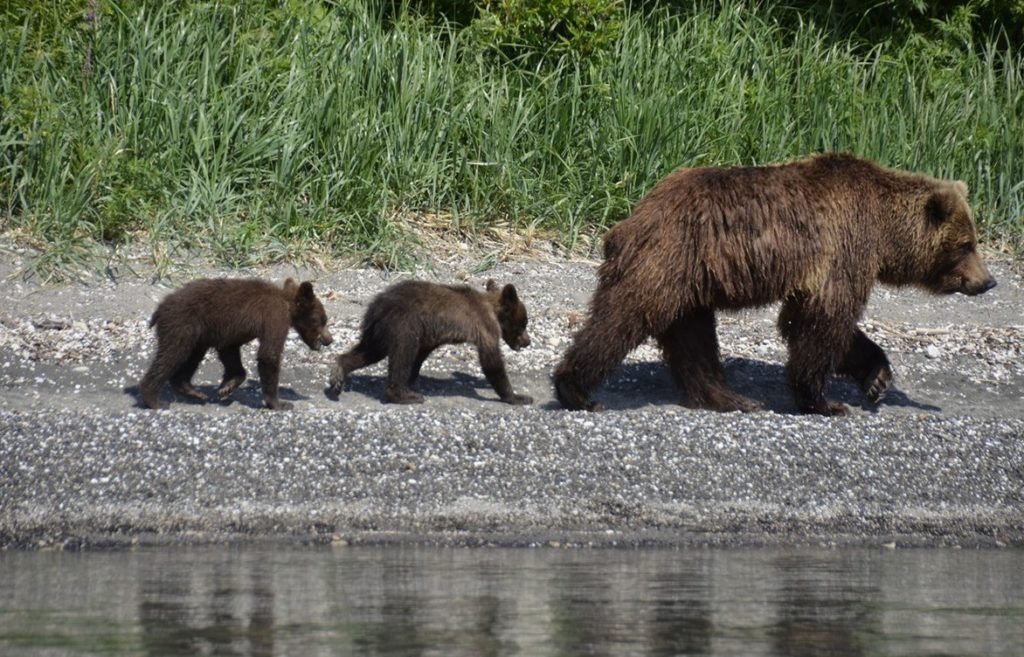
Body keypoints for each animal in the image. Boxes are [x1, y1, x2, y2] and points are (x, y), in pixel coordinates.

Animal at [557, 151, 995, 411]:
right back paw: (574, 389)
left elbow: (815, 321)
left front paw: (876, 378)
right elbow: (823, 320)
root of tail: (637, 213)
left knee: (692, 338)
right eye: (967, 244)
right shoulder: (844, 247)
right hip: (667, 260)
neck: (883, 232)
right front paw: (824, 401)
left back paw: (729, 397)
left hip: (691, 283)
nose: (988, 281)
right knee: (624, 317)